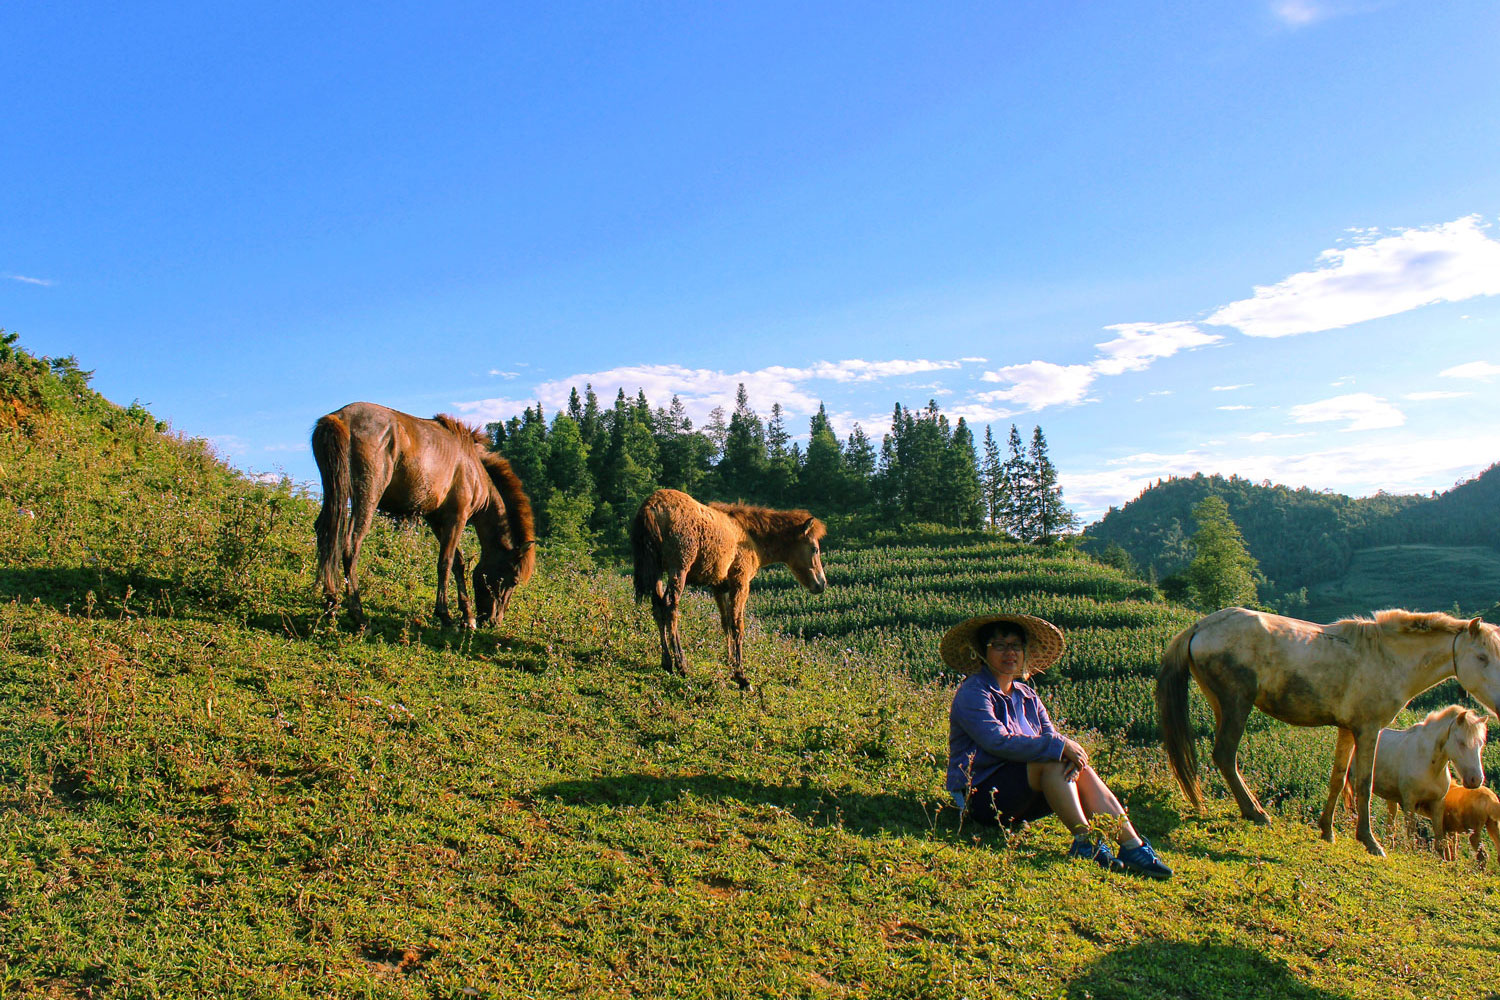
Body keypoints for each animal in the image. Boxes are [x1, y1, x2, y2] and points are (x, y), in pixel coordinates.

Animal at [310, 401, 534, 629]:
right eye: (513, 580)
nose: (494, 621)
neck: (474, 469)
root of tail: (339, 418)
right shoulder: (457, 517)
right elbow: (446, 562)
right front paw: (445, 615)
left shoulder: (436, 519)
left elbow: (458, 563)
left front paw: (467, 615)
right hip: (367, 497)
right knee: (350, 544)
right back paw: (358, 615)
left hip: (335, 491)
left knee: (326, 534)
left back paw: (331, 604)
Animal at [627, 488, 828, 692]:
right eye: (815, 549)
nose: (821, 584)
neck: (748, 536)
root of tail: (651, 506)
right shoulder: (740, 582)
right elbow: (737, 624)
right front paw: (741, 676)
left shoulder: (719, 586)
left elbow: (726, 623)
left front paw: (731, 664)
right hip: (679, 568)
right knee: (670, 607)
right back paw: (681, 664)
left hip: (657, 572)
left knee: (658, 608)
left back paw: (667, 663)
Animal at [1350, 704, 1488, 851]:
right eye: (1461, 742)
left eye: (1480, 744)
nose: (1476, 779)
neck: (1429, 765)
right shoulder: (1409, 802)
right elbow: (1411, 835)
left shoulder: (1437, 804)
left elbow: (1440, 842)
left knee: (1390, 825)